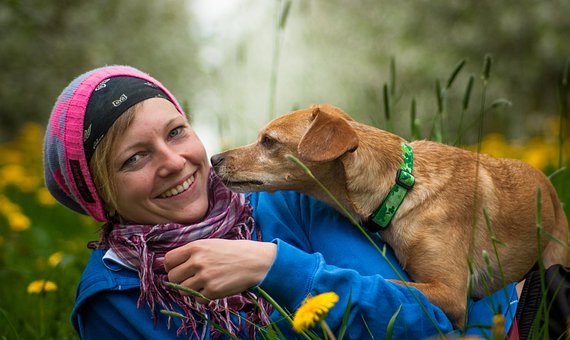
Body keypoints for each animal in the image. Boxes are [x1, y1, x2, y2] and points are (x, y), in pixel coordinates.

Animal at [210, 104, 568, 326]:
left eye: (268, 141)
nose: (214, 159)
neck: (401, 189)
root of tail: (550, 190)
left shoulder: (450, 293)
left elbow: (388, 282)